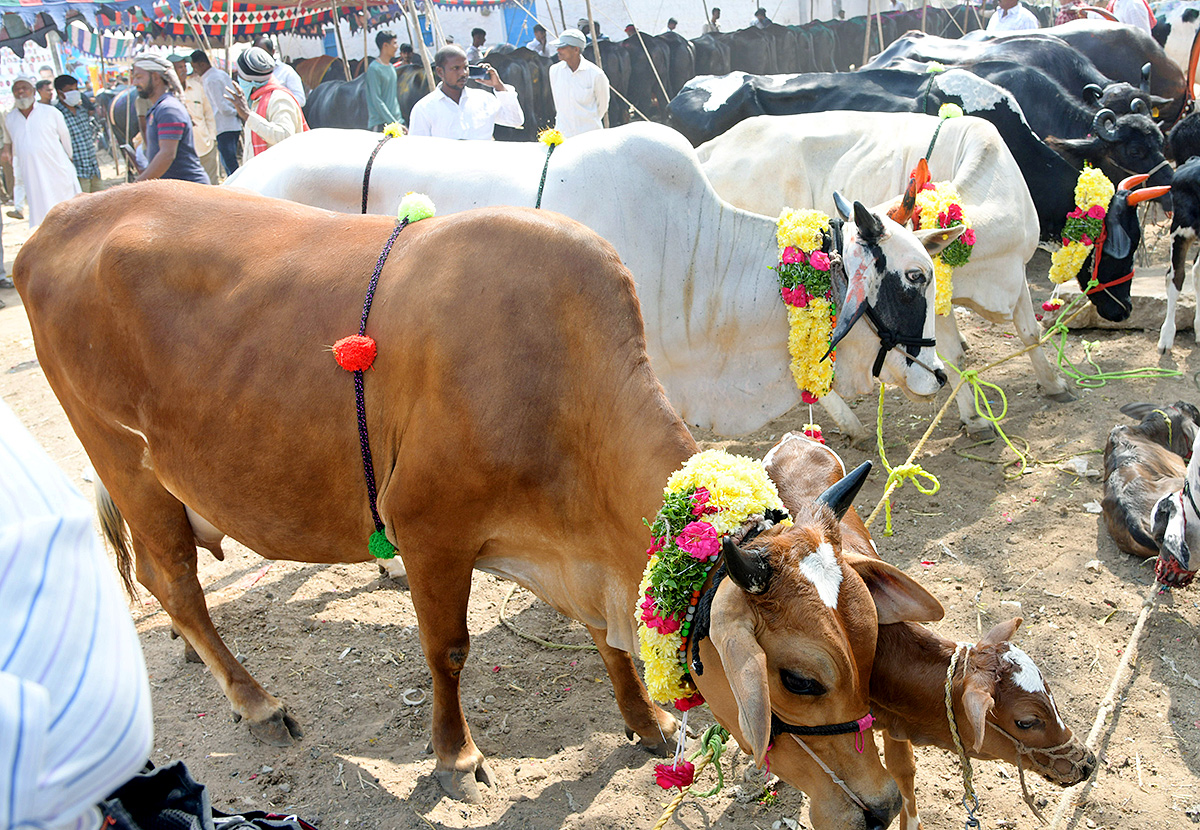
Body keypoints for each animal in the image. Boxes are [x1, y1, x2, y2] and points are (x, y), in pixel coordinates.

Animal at [14, 179, 940, 825]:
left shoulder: (588, 561)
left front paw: (644, 720)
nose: (880, 805)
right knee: (174, 582)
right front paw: (455, 757)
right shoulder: (429, 532)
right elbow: (448, 650)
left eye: (869, 647)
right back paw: (256, 701)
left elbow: (609, 643)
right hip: (125, 460)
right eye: (799, 678)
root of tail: (60, 220)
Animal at [696, 110, 1070, 441]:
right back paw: (853, 427)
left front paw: (1053, 384)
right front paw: (975, 418)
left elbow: (1030, 333)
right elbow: (953, 358)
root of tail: (711, 148)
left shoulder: (1015, 277)